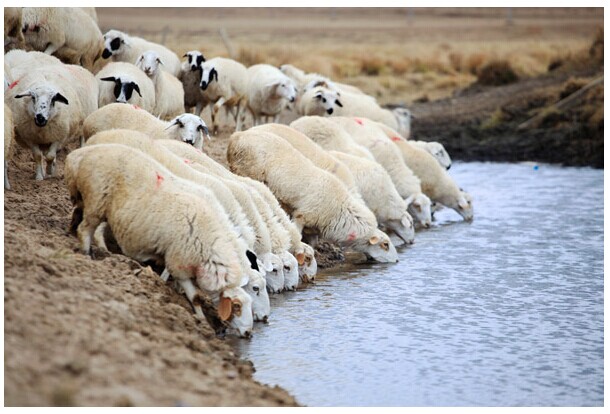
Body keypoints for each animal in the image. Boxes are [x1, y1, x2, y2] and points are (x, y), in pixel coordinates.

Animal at [64, 143, 254, 337]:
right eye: (237, 306)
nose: (249, 333)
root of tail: (80, 154)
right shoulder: (179, 262)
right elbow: (195, 297)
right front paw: (203, 321)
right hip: (96, 201)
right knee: (85, 230)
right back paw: (87, 254)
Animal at [227, 129, 399, 263]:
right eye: (385, 244)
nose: (397, 261)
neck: (340, 209)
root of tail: (237, 136)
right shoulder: (303, 214)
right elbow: (296, 231)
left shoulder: (315, 226)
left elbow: (313, 242)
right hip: (246, 169)